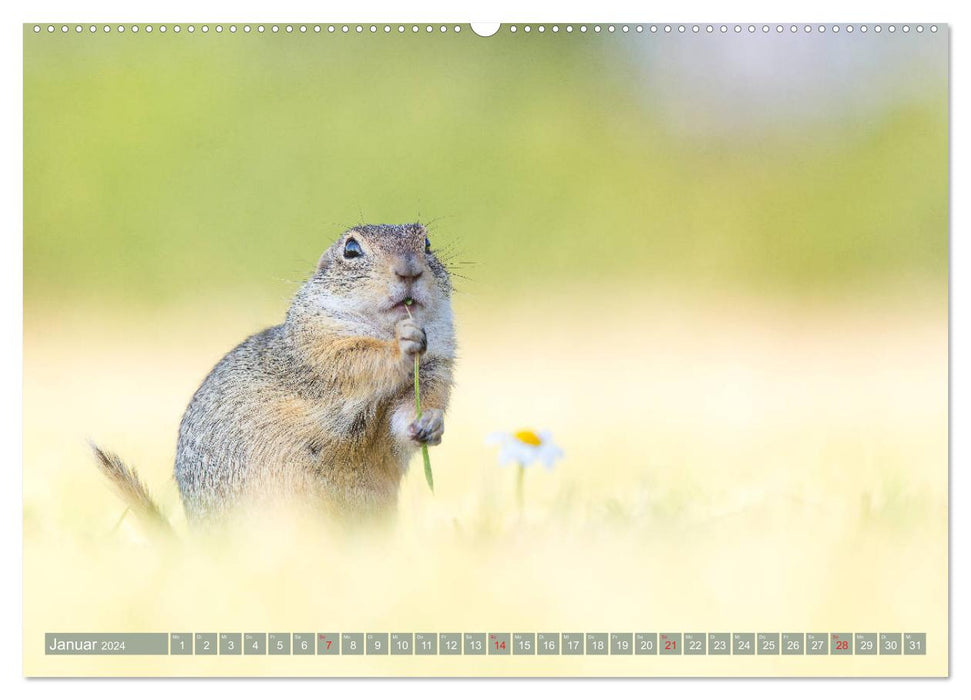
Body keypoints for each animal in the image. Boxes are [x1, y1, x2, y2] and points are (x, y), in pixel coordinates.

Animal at [91, 221, 456, 528]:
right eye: (351, 249)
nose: (409, 269)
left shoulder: (436, 369)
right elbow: (356, 361)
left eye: (427, 243)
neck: (382, 328)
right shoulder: (320, 348)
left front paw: (430, 423)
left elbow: (406, 415)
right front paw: (402, 343)